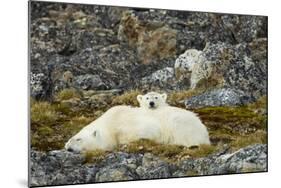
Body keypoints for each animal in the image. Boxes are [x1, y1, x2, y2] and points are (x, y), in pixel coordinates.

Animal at [64, 92, 209, 152]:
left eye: (78, 139)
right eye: (69, 140)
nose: (68, 148)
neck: (110, 124)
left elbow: (149, 131)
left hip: (181, 123)